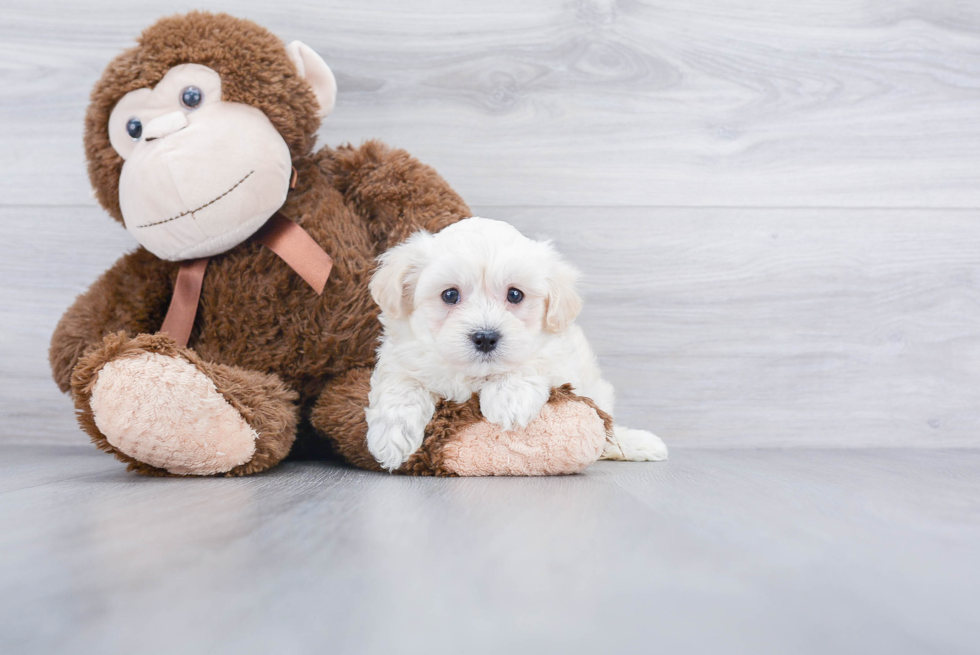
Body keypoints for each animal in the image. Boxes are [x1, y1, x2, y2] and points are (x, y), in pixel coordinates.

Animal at [364, 219, 668, 472]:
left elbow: (529, 363)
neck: (473, 375)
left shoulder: (559, 356)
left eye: (515, 294)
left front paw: (509, 398)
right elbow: (401, 386)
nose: (485, 337)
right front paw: (392, 438)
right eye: (450, 295)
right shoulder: (400, 356)